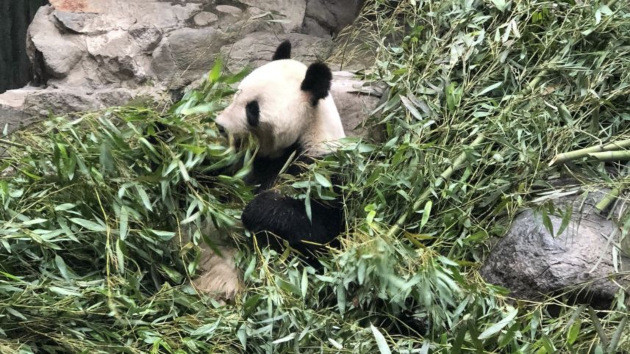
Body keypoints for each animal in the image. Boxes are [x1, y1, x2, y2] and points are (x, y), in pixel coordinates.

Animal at [195, 40, 348, 300]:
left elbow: (323, 232)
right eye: (237, 93)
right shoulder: (243, 160)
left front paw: (255, 209)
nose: (221, 126)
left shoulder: (322, 170)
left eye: (252, 109)